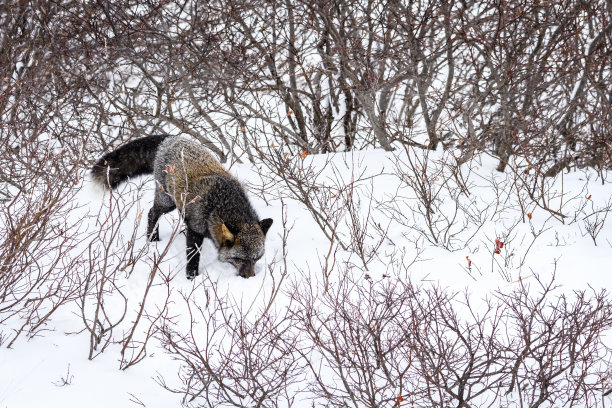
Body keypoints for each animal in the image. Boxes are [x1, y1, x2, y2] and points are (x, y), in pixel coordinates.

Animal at [91, 135, 272, 278]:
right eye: (239, 259)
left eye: (256, 258)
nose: (250, 277)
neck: (221, 203)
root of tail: (171, 138)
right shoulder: (195, 230)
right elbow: (193, 258)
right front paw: (192, 278)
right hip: (167, 202)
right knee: (151, 213)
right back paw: (153, 240)